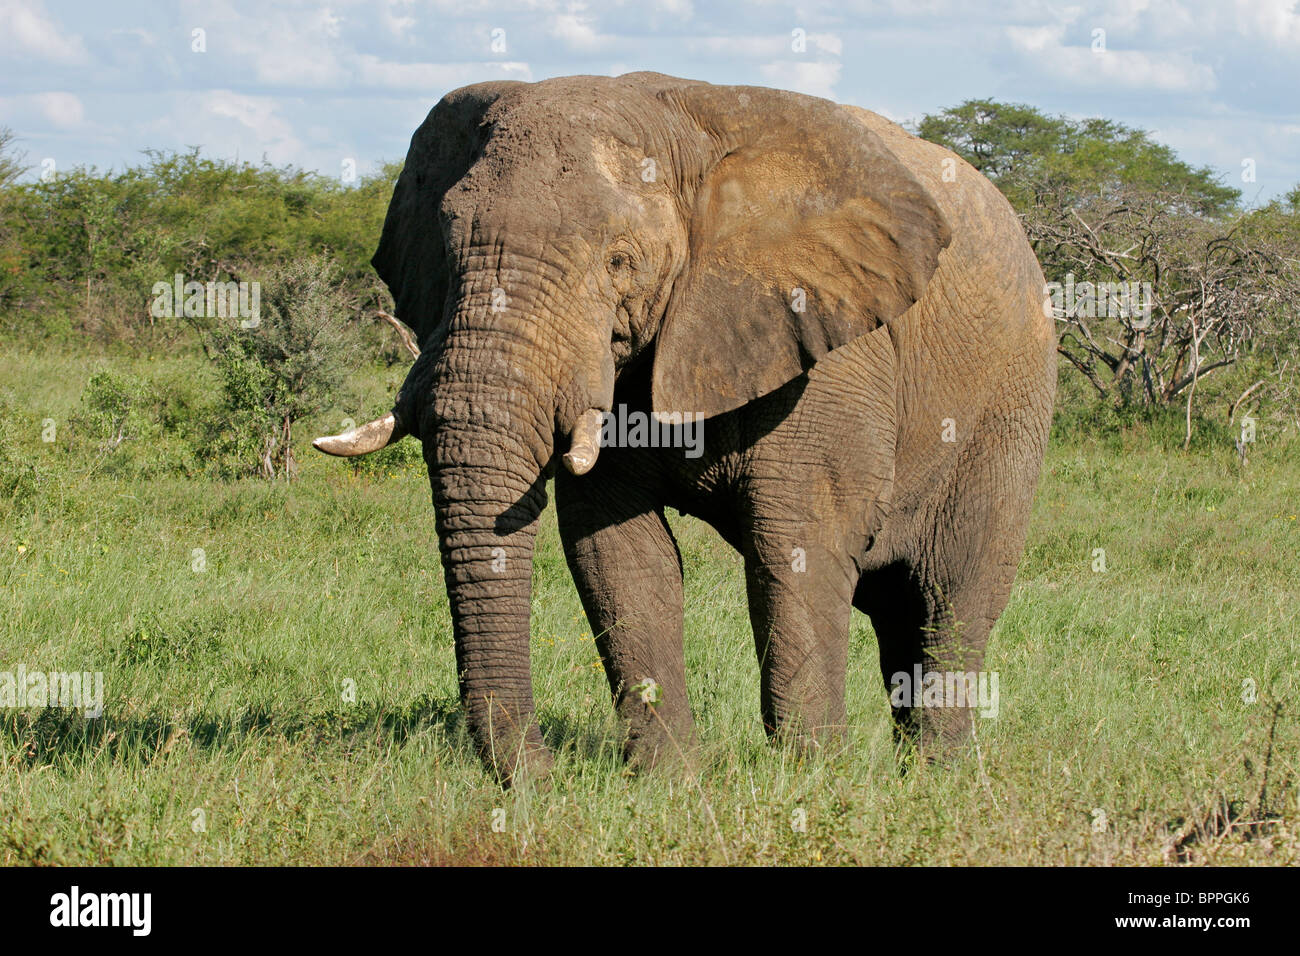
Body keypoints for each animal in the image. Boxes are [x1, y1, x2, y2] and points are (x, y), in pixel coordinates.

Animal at [312, 72, 1055, 785]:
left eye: (619, 260)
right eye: (446, 249)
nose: (541, 779)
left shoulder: (832, 351)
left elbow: (798, 544)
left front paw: (811, 783)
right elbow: (616, 550)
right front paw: (666, 783)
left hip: (1009, 408)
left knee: (951, 596)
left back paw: (937, 780)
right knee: (900, 611)